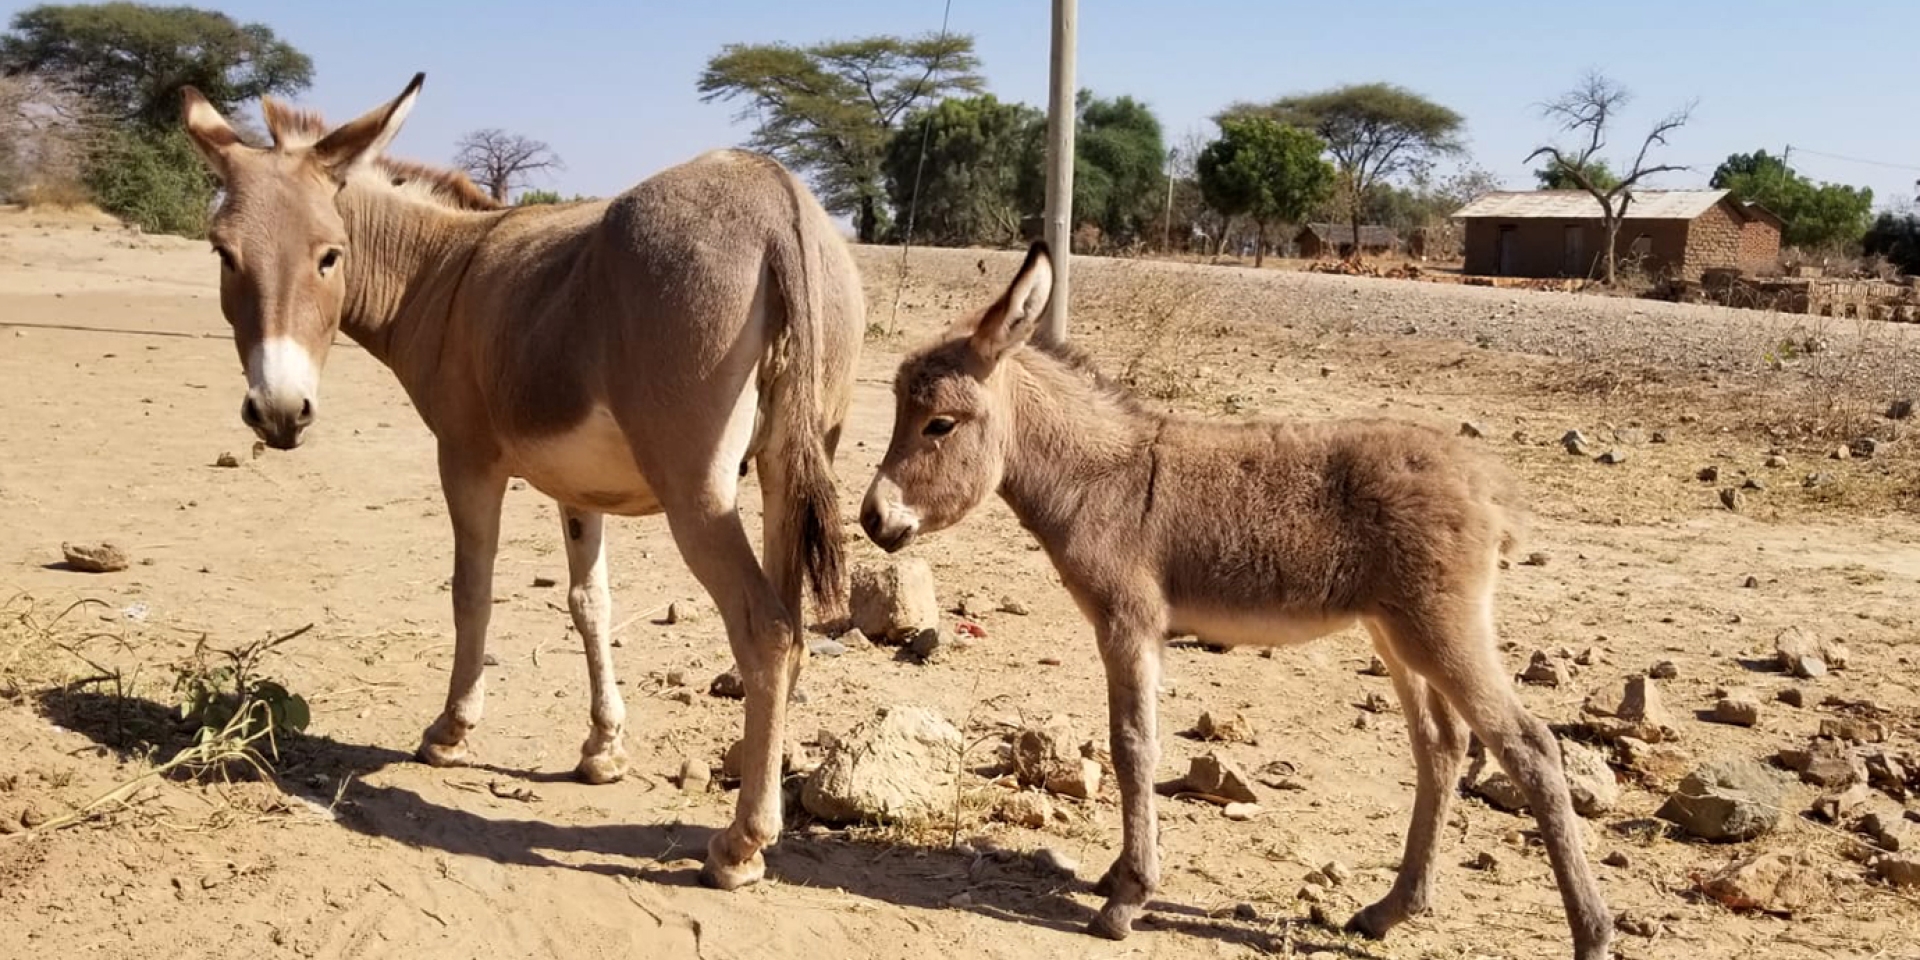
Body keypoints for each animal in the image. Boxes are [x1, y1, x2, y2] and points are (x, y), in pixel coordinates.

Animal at [180, 74, 864, 890]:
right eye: (224, 255)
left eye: (328, 256)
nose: (279, 413)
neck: (442, 272)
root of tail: (772, 195)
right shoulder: (580, 488)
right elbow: (590, 603)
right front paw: (603, 751)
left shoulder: (465, 459)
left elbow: (471, 592)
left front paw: (449, 731)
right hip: (788, 468)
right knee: (792, 629)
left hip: (699, 492)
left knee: (765, 631)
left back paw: (741, 844)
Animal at [859, 243, 1611, 958]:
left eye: (939, 425)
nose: (872, 519)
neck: (1099, 478)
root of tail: (1485, 481)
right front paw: (1117, 876)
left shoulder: (1129, 623)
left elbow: (1133, 746)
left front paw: (1127, 898)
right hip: (1397, 636)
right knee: (1444, 747)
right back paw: (1390, 911)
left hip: (1442, 630)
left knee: (1531, 748)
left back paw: (1592, 935)